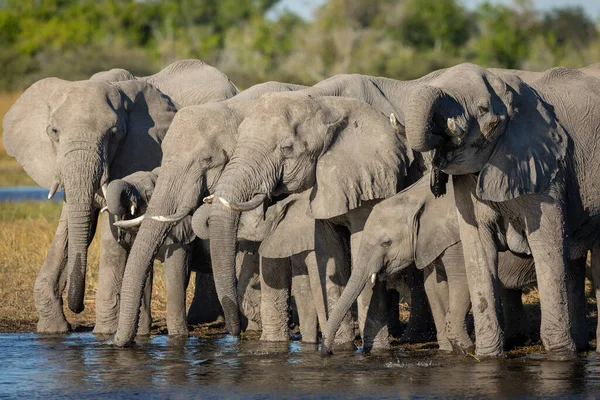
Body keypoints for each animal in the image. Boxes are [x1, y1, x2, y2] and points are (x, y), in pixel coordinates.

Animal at [1, 59, 237, 334]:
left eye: (113, 134)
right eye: (54, 131)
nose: (77, 307)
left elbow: (109, 230)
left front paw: (104, 332)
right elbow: (71, 226)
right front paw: (53, 329)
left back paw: (203, 319)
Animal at [209, 92, 428, 352]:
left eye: (286, 149)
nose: (235, 334)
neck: (328, 108)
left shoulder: (372, 180)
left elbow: (361, 251)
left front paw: (374, 351)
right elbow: (329, 254)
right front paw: (340, 348)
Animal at [322, 173, 536, 354]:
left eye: (386, 242)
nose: (327, 352)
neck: (415, 198)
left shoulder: (456, 237)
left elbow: (462, 280)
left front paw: (464, 348)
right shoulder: (427, 241)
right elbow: (433, 285)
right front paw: (448, 349)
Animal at [404, 63, 600, 360]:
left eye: (483, 109)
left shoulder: (547, 169)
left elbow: (547, 246)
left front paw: (559, 357)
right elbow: (478, 250)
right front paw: (487, 358)